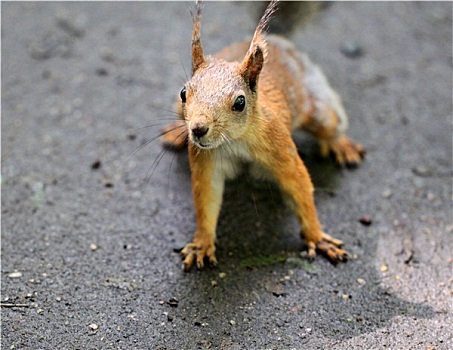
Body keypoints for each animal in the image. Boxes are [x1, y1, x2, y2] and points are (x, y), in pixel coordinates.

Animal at [161, 0, 366, 272]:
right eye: (184, 92)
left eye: (240, 102)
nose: (197, 129)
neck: (235, 140)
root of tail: (278, 41)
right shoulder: (206, 159)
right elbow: (206, 199)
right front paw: (201, 244)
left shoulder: (279, 145)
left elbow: (300, 186)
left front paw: (317, 237)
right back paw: (175, 132)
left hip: (317, 106)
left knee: (330, 123)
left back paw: (341, 144)